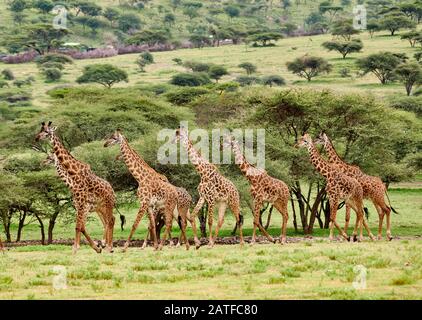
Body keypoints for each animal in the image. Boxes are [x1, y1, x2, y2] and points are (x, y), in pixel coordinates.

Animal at [34, 121, 115, 254]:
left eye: (46, 132)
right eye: (40, 130)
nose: (36, 138)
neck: (73, 175)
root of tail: (112, 190)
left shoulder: (83, 206)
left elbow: (79, 226)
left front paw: (78, 248)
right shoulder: (79, 206)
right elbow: (80, 227)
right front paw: (87, 247)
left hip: (107, 205)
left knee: (110, 221)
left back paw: (109, 246)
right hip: (100, 208)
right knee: (107, 222)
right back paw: (105, 245)